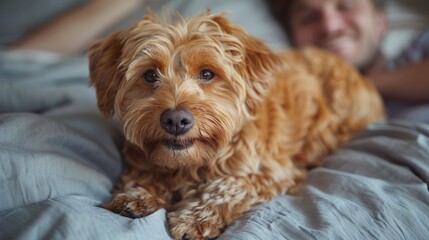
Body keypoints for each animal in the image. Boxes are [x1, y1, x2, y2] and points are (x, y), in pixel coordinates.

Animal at [88, 11, 384, 240]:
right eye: (150, 75)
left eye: (207, 73)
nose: (175, 120)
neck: (191, 164)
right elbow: (142, 175)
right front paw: (136, 195)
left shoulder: (270, 172)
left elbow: (227, 187)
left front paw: (195, 219)